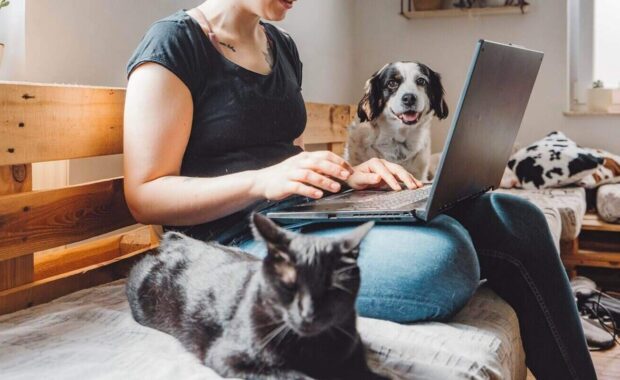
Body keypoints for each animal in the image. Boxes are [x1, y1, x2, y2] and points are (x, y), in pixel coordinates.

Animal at [125, 214, 388, 380]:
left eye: (331, 288)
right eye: (288, 285)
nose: (308, 313)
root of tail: (178, 240)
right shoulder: (227, 357)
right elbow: (297, 376)